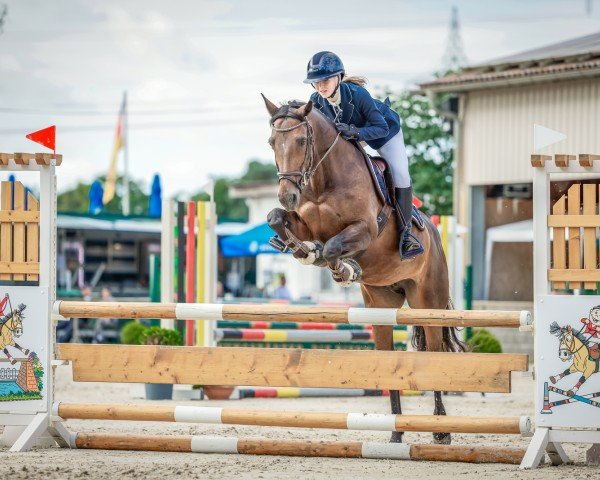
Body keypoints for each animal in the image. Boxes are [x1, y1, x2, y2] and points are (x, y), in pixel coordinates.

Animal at [262, 95, 464, 444]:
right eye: (272, 142)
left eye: (301, 140)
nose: (288, 195)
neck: (322, 182)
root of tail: (435, 234)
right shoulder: (303, 221)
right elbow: (278, 219)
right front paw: (305, 251)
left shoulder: (365, 230)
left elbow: (333, 247)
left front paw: (344, 269)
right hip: (381, 307)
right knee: (388, 359)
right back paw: (396, 433)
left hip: (428, 301)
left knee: (435, 349)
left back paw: (441, 431)